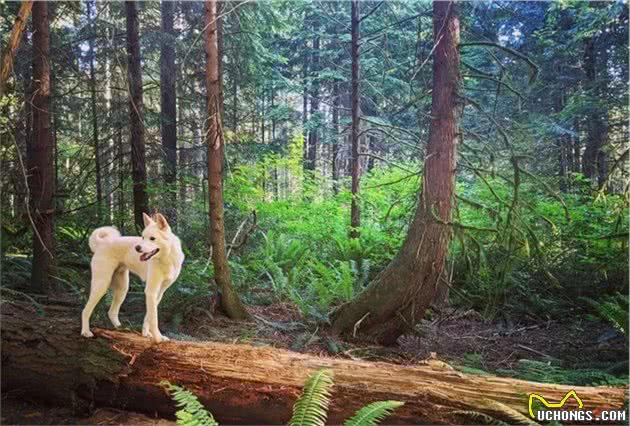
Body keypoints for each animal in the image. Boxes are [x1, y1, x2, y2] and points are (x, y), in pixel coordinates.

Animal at [81, 213, 185, 342]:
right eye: (142, 237)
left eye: (152, 238)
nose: (137, 248)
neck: (167, 258)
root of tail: (103, 243)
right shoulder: (150, 291)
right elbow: (153, 318)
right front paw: (157, 338)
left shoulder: (159, 293)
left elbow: (148, 316)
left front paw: (147, 334)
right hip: (101, 285)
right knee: (85, 310)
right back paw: (86, 332)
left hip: (122, 289)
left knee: (112, 312)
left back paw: (120, 328)